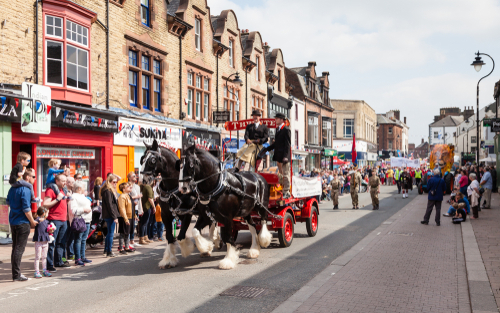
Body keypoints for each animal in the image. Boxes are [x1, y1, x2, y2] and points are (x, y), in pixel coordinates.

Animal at [141, 140, 219, 268]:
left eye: (152, 160)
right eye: (142, 159)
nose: (142, 179)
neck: (174, 189)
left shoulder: (187, 214)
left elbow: (181, 236)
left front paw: (191, 248)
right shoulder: (165, 214)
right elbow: (169, 236)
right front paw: (168, 260)